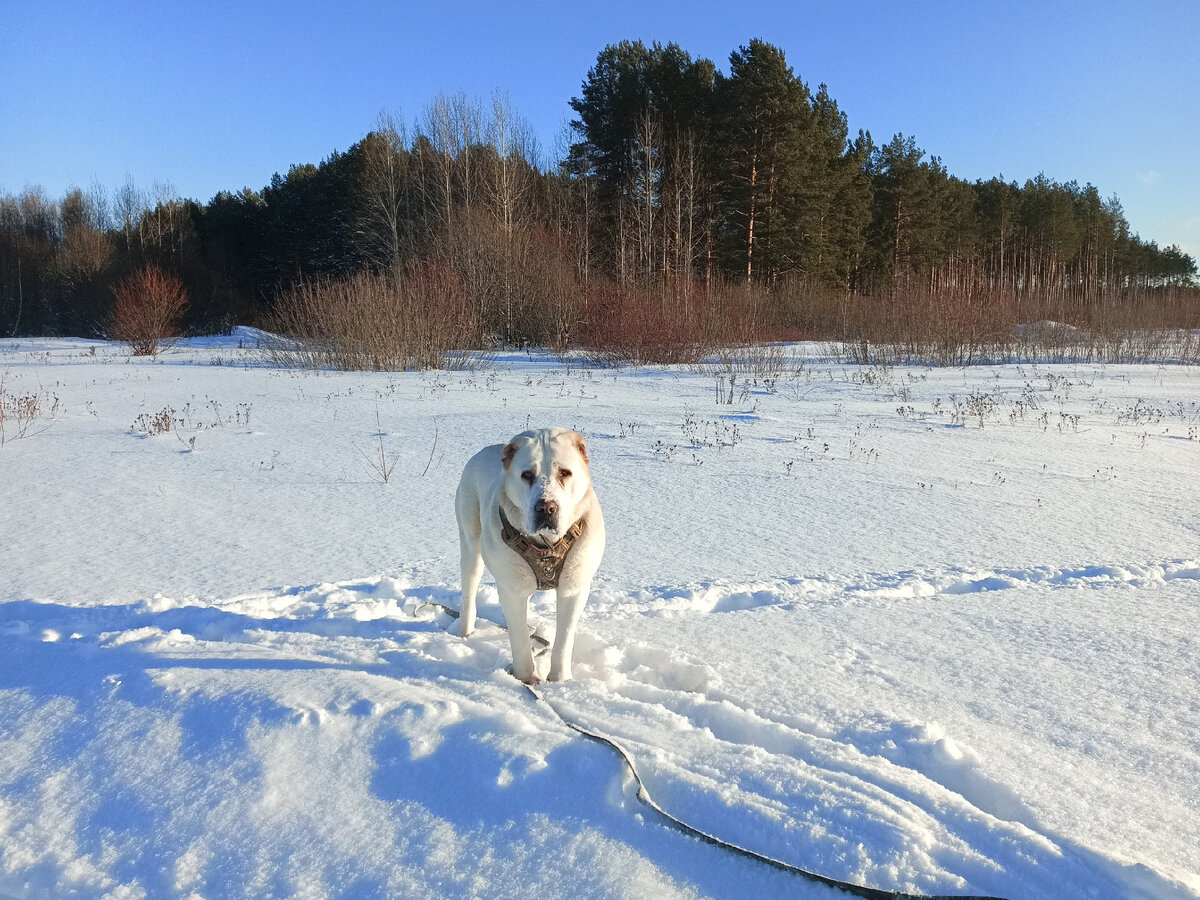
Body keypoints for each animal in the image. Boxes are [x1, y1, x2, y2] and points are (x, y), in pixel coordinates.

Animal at [458, 429, 609, 681]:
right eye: (527, 474)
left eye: (565, 473)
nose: (546, 507)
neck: (546, 545)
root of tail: (484, 451)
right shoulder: (513, 590)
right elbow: (518, 639)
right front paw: (525, 679)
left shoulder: (573, 589)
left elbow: (564, 639)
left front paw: (560, 680)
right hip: (471, 544)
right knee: (469, 590)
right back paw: (464, 633)